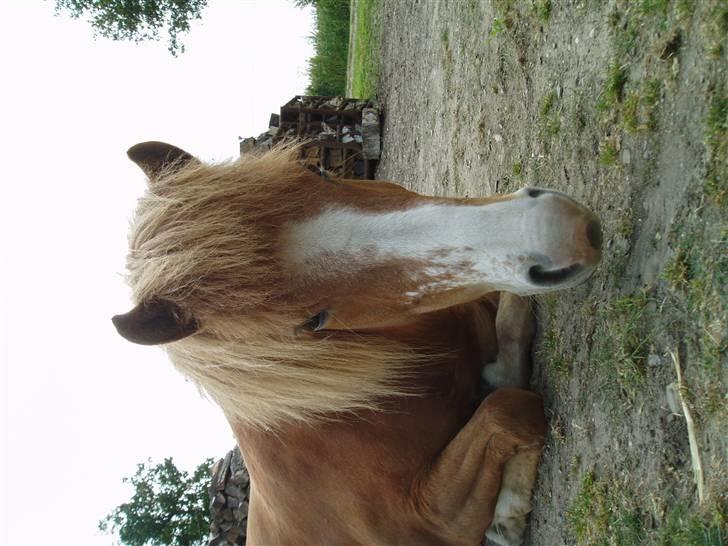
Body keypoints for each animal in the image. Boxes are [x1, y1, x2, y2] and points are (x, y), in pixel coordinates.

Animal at [115, 141, 604, 544]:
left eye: (317, 171)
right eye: (312, 321)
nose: (559, 231)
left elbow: (511, 328)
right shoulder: (433, 519)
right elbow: (511, 408)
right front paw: (507, 515)